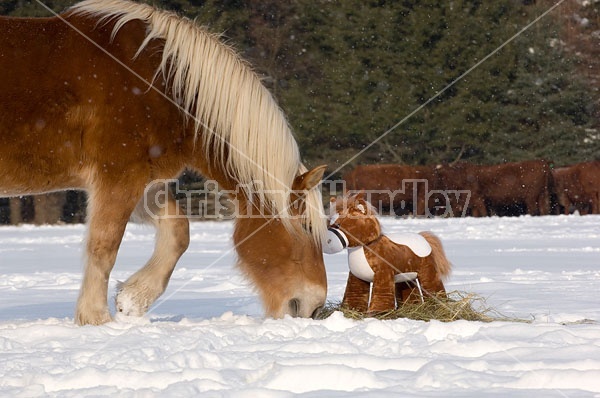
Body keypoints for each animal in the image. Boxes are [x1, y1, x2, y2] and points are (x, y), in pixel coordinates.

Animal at [0, 0, 328, 324]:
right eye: (306, 226)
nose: (312, 307)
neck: (163, 86)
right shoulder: (119, 176)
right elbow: (104, 246)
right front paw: (96, 319)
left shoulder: (145, 182)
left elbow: (178, 233)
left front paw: (132, 300)